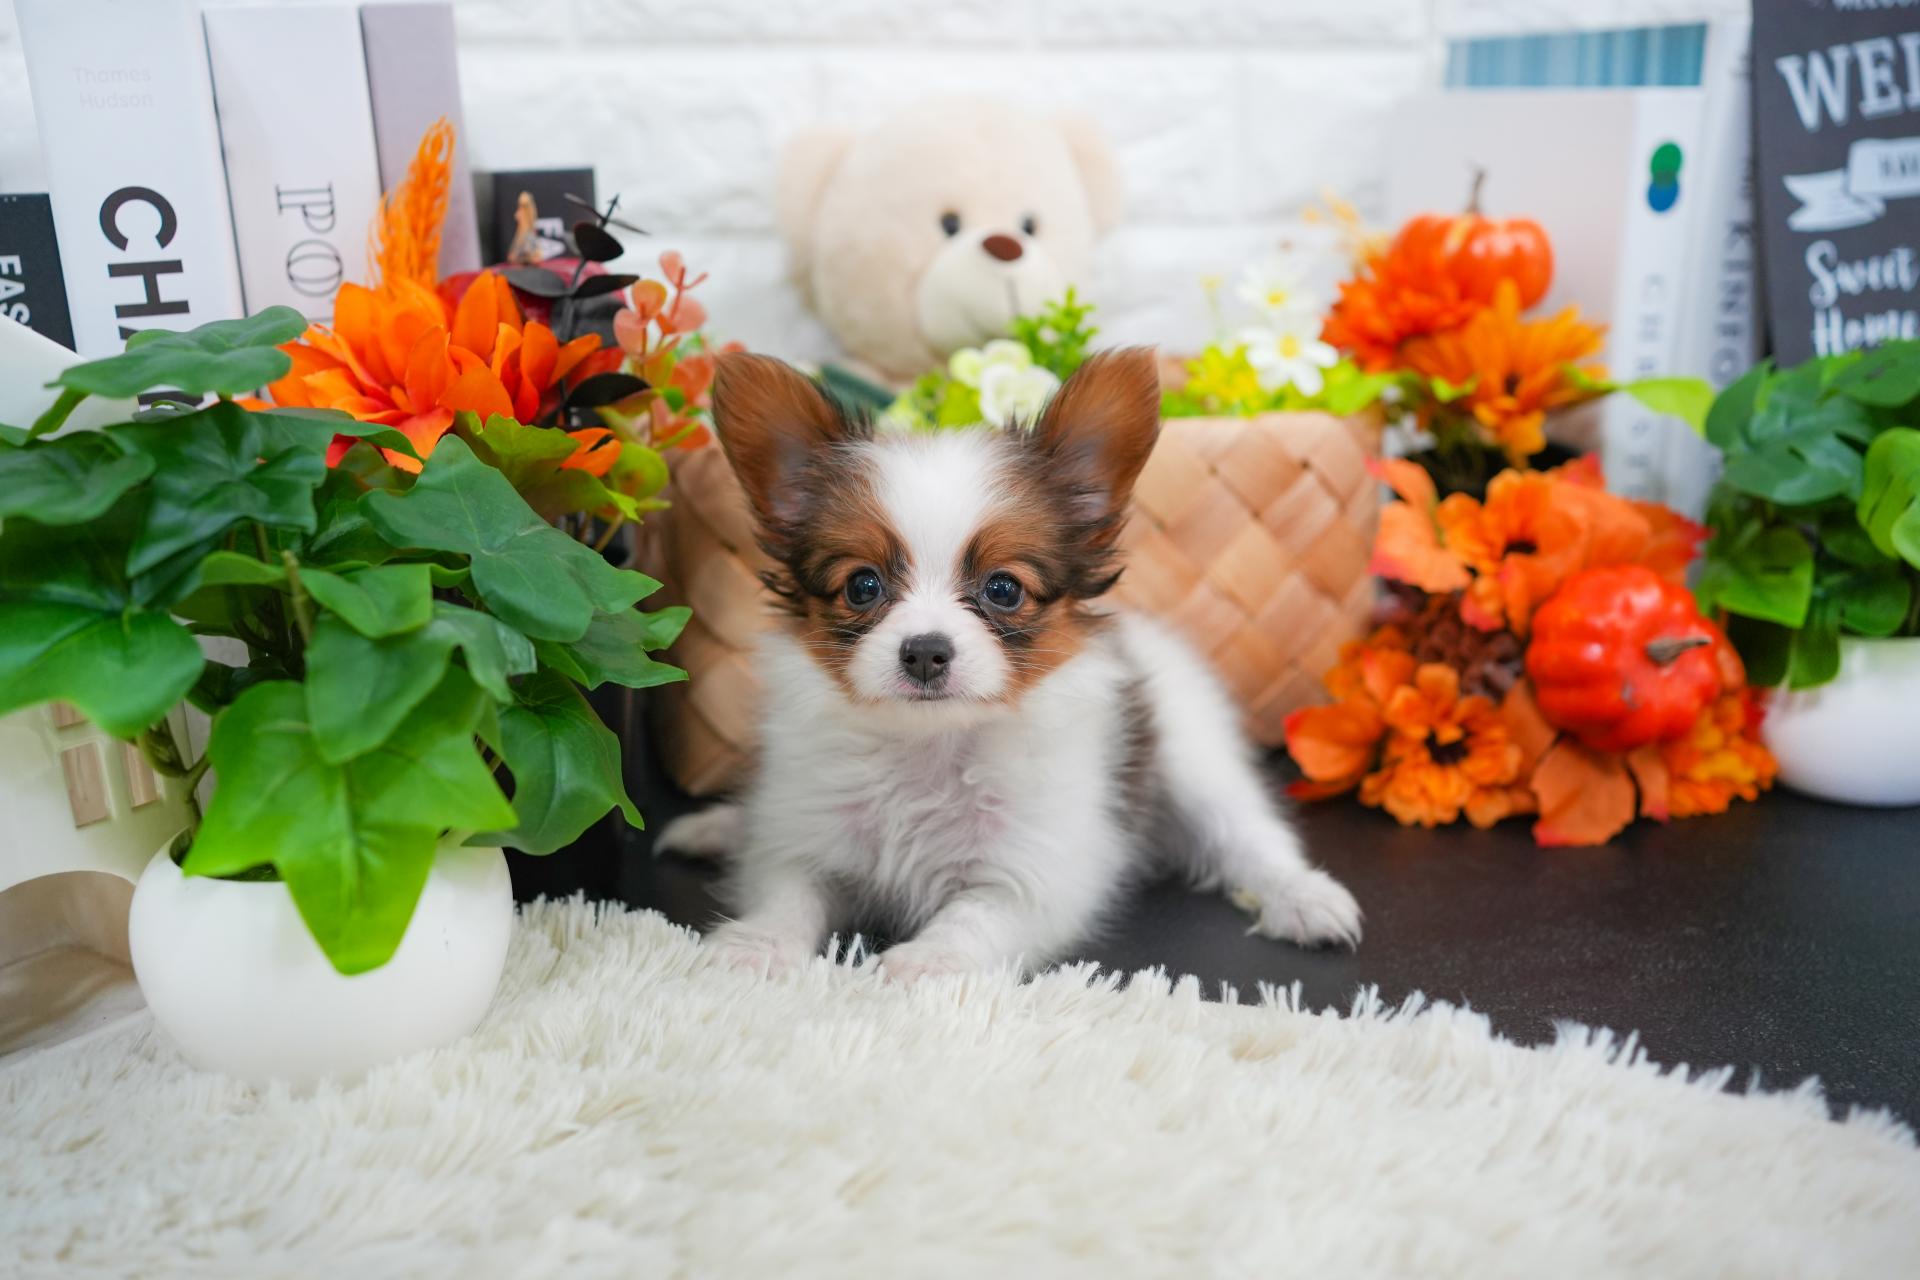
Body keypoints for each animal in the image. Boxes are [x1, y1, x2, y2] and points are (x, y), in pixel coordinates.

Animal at [656, 348, 1361, 982]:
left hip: (1195, 762)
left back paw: (1304, 897)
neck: (928, 749)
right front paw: (757, 945)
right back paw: (721, 826)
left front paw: (929, 962)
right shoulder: (804, 840)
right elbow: (786, 893)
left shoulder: (1035, 874)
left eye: (1003, 588)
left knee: (1249, 837)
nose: (925, 650)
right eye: (861, 586)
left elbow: (974, 915)